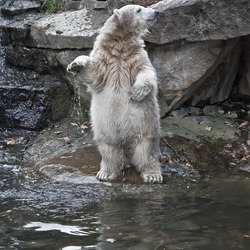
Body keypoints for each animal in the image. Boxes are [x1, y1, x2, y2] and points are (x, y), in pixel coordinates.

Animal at [67, 4, 163, 184]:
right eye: (139, 9)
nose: (156, 12)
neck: (120, 43)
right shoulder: (105, 56)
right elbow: (94, 72)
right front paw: (75, 64)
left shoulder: (136, 56)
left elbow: (147, 72)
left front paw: (136, 92)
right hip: (105, 128)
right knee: (108, 148)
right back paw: (106, 172)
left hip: (144, 124)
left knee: (146, 149)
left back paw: (152, 174)